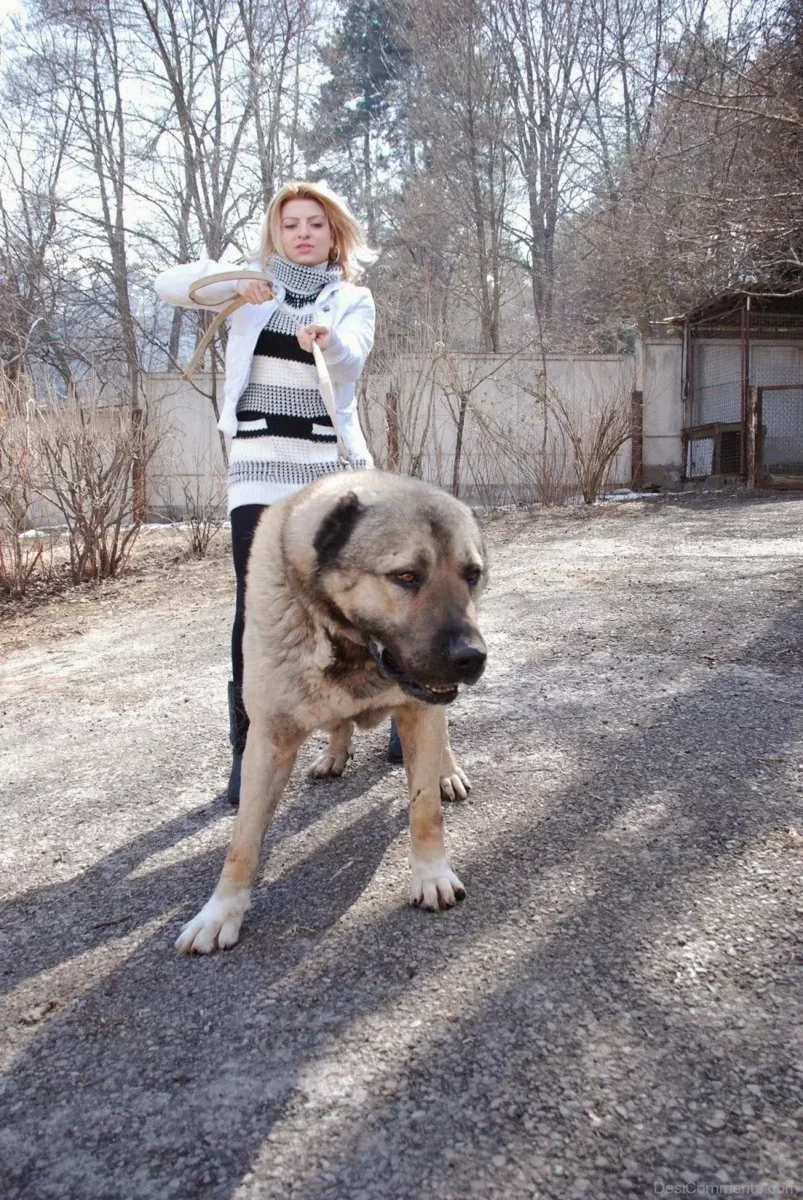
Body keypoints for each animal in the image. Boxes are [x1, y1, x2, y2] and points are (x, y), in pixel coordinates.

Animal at [176, 470, 484, 955]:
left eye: (472, 575)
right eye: (406, 576)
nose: (473, 657)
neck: (352, 646)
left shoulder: (420, 713)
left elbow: (424, 810)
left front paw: (431, 873)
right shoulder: (267, 741)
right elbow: (242, 841)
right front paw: (221, 911)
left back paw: (447, 771)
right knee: (341, 725)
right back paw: (335, 753)